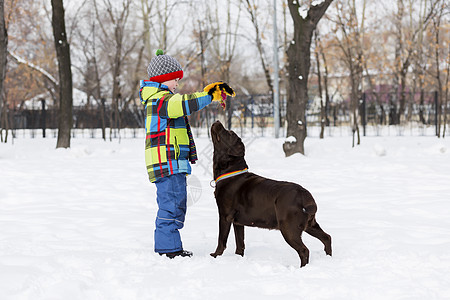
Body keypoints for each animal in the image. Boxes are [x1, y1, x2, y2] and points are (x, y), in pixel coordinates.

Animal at [210, 120, 330, 266]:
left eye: (229, 133)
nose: (217, 121)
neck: (230, 172)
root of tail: (305, 195)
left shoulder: (225, 215)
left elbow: (221, 240)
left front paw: (215, 256)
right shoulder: (238, 222)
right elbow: (240, 243)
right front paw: (239, 259)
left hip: (288, 228)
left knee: (304, 250)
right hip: (310, 224)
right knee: (327, 237)